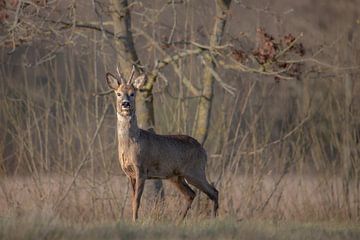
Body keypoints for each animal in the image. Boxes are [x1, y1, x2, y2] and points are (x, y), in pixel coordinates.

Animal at [106, 65, 219, 221]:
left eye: (132, 93)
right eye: (118, 93)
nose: (125, 104)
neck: (131, 143)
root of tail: (203, 150)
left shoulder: (141, 169)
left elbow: (137, 201)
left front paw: (135, 221)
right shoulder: (129, 173)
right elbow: (132, 200)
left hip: (195, 170)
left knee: (213, 191)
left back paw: (214, 219)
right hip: (176, 176)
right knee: (191, 194)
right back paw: (178, 220)